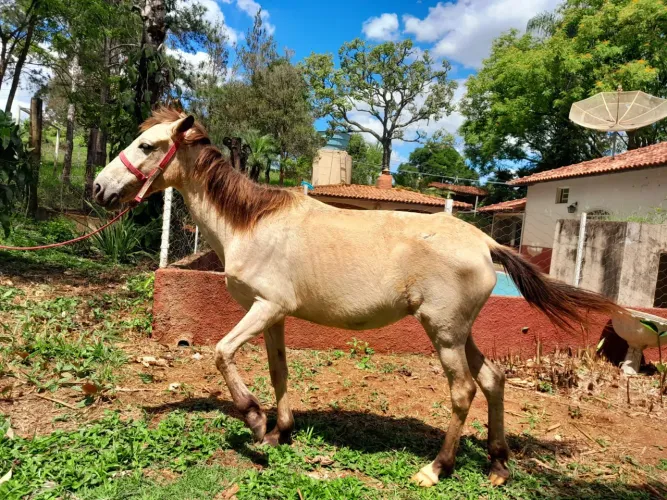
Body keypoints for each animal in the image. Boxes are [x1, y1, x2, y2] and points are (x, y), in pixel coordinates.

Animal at [93, 108, 623, 487]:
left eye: (146, 146)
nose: (99, 187)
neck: (252, 224)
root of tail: (485, 242)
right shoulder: (275, 316)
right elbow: (279, 371)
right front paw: (281, 429)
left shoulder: (262, 309)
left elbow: (222, 353)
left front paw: (255, 421)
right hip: (460, 331)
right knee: (493, 379)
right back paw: (497, 466)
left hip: (444, 333)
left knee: (464, 390)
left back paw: (437, 468)